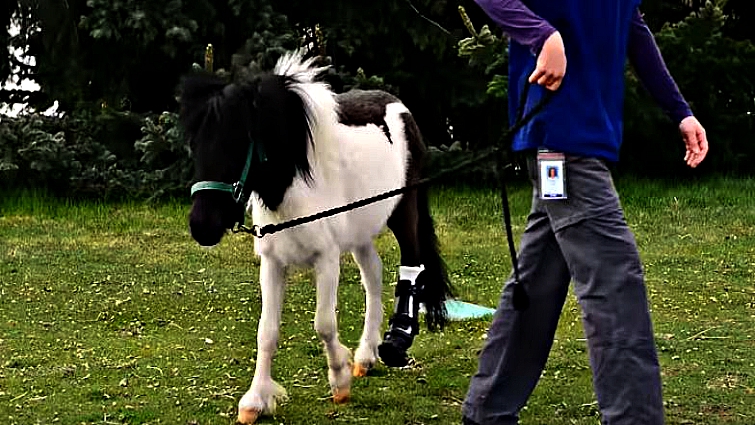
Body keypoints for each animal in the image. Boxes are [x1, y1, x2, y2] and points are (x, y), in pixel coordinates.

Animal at [179, 48, 453, 424]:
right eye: (195, 144)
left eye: (238, 142)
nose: (202, 225)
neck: (295, 186)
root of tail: (400, 107)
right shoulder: (273, 263)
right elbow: (267, 332)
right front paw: (255, 401)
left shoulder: (326, 259)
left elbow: (323, 323)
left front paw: (339, 379)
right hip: (360, 233)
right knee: (373, 275)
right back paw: (365, 357)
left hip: (404, 210)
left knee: (411, 264)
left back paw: (393, 343)